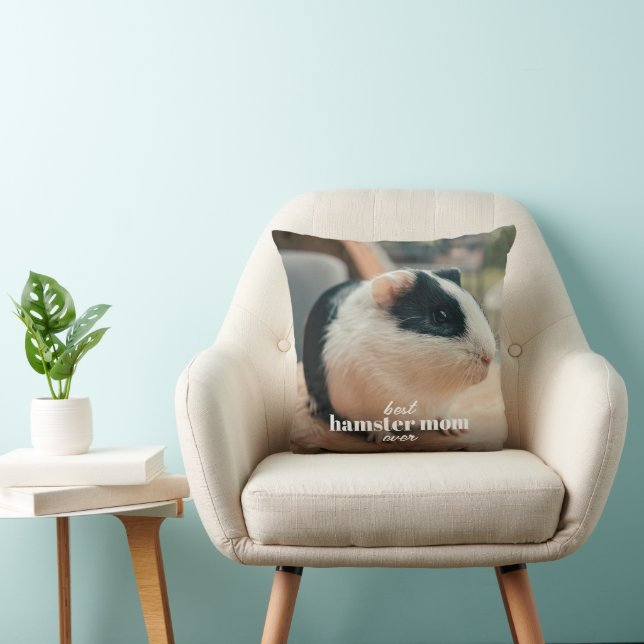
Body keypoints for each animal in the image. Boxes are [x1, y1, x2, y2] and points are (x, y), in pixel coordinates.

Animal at [302, 268, 497, 440]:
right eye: (440, 316)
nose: (488, 357)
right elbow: (373, 423)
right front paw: (387, 439)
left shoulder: (442, 405)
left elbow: (443, 415)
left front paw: (456, 430)